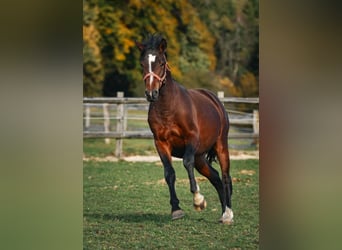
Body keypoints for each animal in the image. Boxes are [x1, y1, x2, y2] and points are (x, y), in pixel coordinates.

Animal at [136, 34, 235, 224]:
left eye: (161, 63)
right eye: (142, 64)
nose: (151, 94)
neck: (169, 108)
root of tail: (214, 99)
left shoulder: (191, 139)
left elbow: (186, 163)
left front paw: (198, 201)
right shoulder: (161, 143)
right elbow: (169, 173)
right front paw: (176, 209)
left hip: (220, 145)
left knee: (225, 176)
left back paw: (228, 214)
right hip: (200, 158)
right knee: (216, 177)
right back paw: (222, 213)